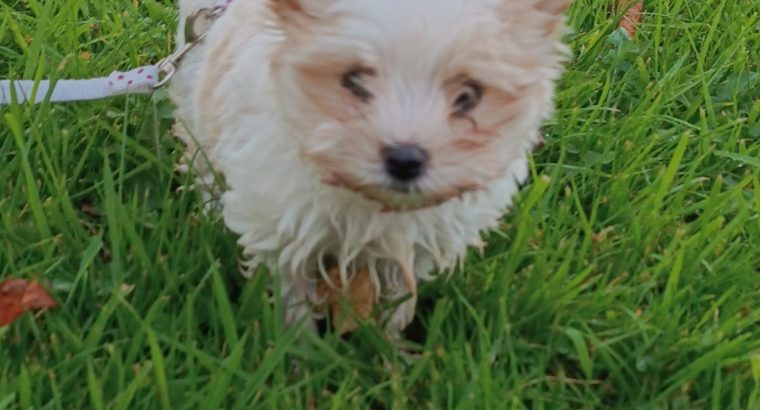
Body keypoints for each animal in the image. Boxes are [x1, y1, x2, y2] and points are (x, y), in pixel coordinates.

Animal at [171, 0, 568, 338]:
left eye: (469, 96)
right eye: (355, 81)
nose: (405, 159)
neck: (369, 199)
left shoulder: (417, 243)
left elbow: (400, 296)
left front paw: (391, 351)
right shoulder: (280, 225)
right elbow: (292, 299)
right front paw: (300, 358)